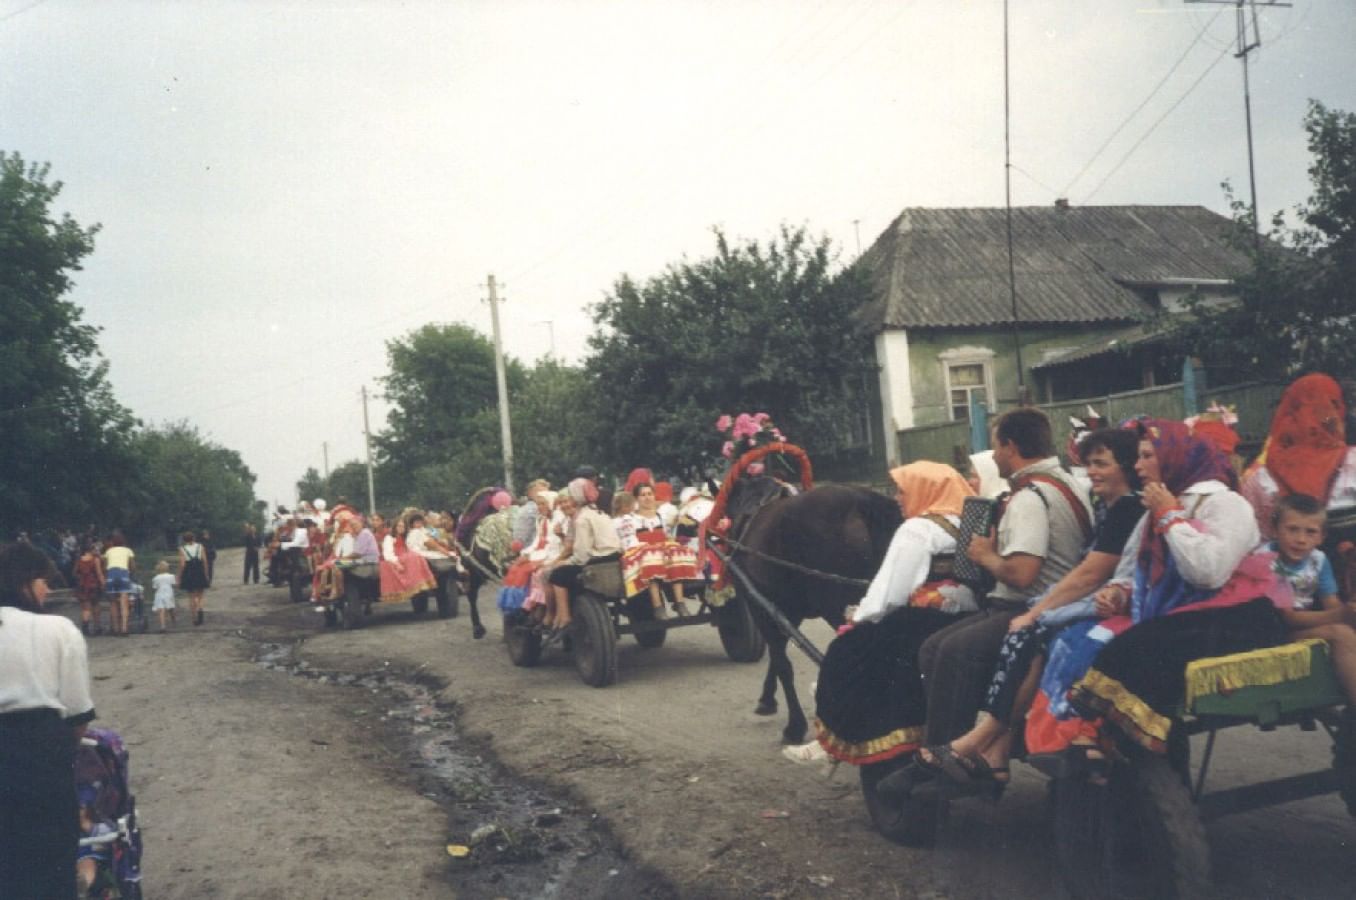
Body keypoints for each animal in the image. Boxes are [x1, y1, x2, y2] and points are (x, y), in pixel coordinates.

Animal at [721, 477, 900, 742]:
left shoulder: (759, 606)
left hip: (839, 607)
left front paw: (794, 725)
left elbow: (781, 662)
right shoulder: (787, 612)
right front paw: (767, 699)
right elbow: (779, 654)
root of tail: (863, 502)